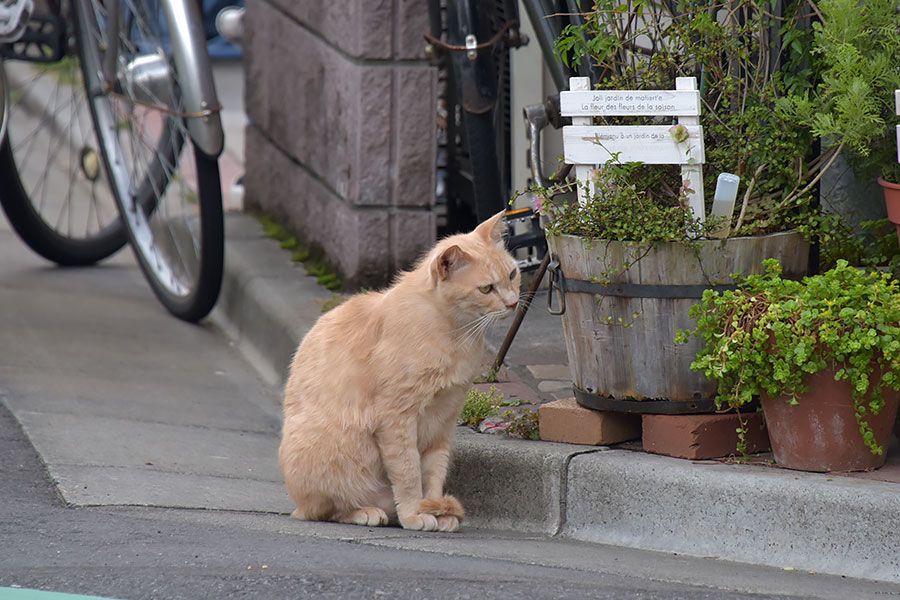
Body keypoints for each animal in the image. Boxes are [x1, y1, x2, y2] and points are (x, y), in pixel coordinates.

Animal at [280, 213, 520, 532]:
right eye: (486, 289)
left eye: (513, 274)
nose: (513, 302)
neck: (455, 335)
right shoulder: (397, 418)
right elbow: (408, 474)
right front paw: (415, 513)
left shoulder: (444, 421)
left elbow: (433, 473)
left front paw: (436, 510)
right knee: (326, 509)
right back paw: (366, 512)